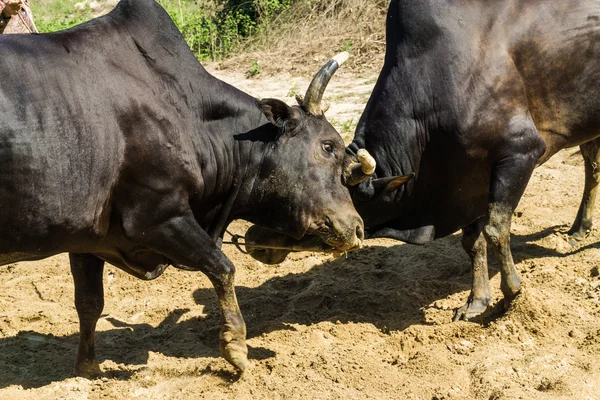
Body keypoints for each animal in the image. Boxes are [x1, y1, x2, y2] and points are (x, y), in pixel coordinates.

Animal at [0, 0, 376, 376]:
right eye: (327, 147)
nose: (357, 227)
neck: (184, 114)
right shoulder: (159, 217)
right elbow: (222, 267)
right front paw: (236, 347)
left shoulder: (86, 240)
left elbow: (90, 303)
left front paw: (89, 369)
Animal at [246, 0, 600, 318]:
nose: (253, 239)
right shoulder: (468, 179)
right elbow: (472, 241)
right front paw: (476, 301)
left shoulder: (520, 152)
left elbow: (496, 229)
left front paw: (511, 293)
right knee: (592, 167)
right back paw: (579, 229)